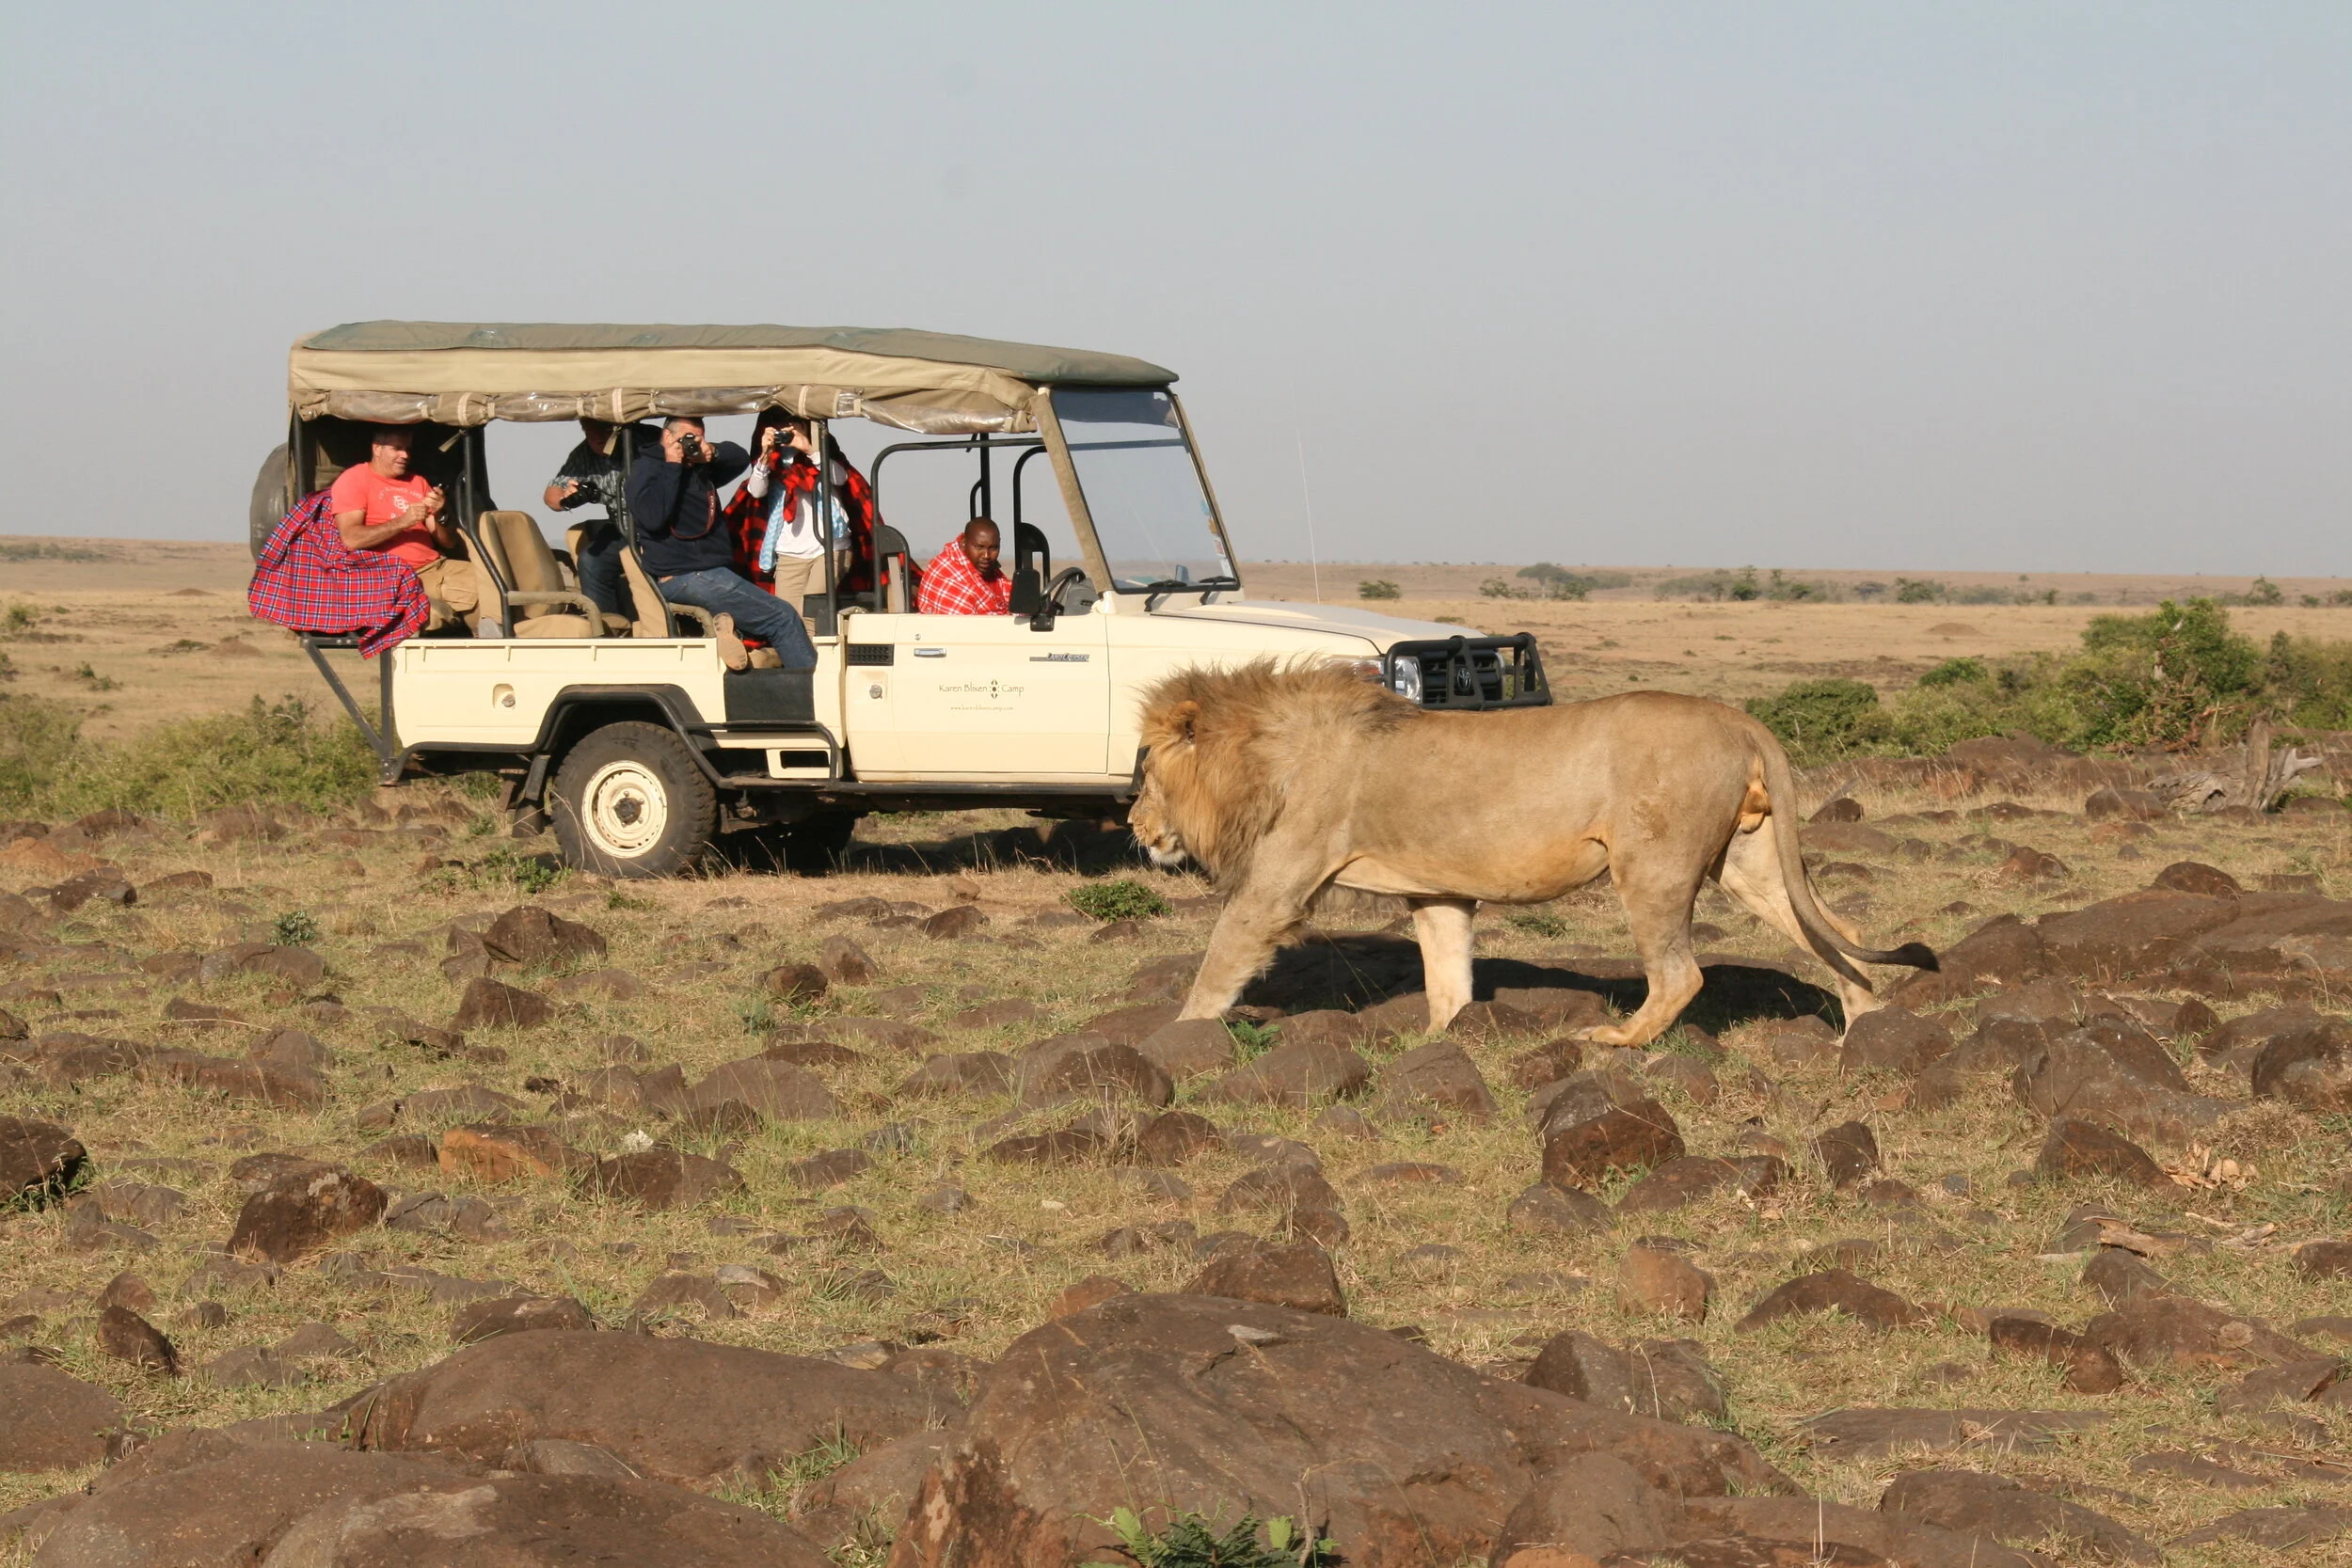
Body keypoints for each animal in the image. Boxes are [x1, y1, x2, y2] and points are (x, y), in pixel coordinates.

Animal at [1129, 660, 1936, 1045]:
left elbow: (1217, 965)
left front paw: (1176, 1038)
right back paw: (1865, 1028)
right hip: (1750, 861)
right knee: (1840, 931)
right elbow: (1447, 977)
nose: (1135, 824)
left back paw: (1615, 1039)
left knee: (1682, 974)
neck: (1262, 755)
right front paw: (1439, 1039)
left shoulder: (1279, 884)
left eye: (1146, 771)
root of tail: (1738, 716)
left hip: (1651, 864)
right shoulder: (1438, 891)